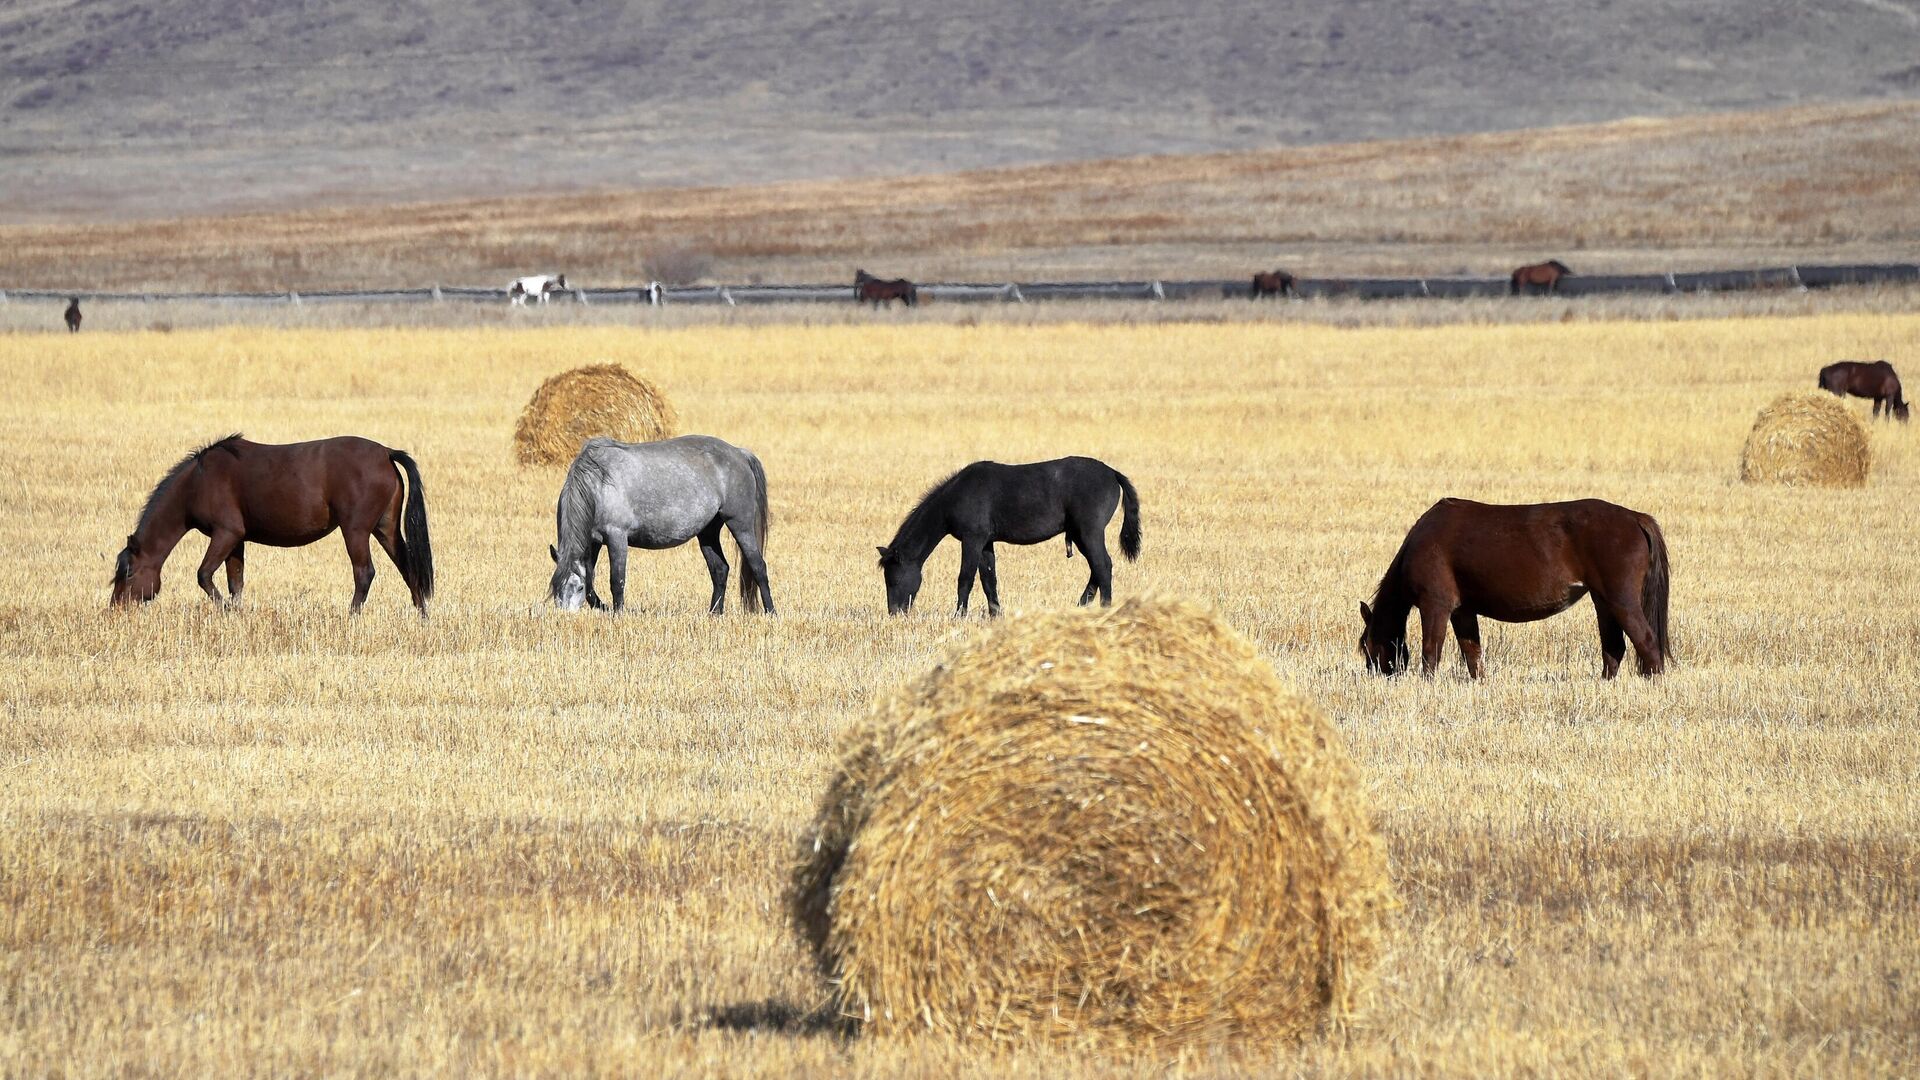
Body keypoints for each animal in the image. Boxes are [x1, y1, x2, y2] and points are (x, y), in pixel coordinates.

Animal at [109, 430, 435, 614]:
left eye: (128, 574)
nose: (115, 610)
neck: (198, 482)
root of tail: (386, 453)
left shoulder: (226, 533)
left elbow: (204, 575)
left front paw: (225, 611)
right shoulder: (236, 540)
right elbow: (235, 582)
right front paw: (236, 612)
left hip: (355, 531)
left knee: (364, 573)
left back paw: (351, 616)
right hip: (385, 529)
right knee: (408, 567)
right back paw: (422, 616)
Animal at [549, 430, 771, 614]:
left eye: (577, 586)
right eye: (555, 587)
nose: (565, 616)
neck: (598, 484)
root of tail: (739, 453)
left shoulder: (616, 537)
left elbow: (616, 580)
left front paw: (618, 614)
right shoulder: (594, 541)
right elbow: (591, 581)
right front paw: (602, 607)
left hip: (740, 525)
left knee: (758, 566)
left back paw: (771, 612)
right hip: (708, 532)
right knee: (720, 570)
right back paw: (714, 614)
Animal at [879, 453, 1136, 614]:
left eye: (893, 579)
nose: (894, 612)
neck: (956, 496)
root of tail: (1112, 473)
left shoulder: (972, 540)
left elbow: (965, 578)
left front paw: (959, 614)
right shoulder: (985, 543)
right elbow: (988, 579)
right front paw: (995, 613)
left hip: (1089, 532)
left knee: (1103, 565)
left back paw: (1105, 607)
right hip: (1081, 535)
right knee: (1096, 569)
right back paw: (1082, 605)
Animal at [1359, 495, 1674, 672]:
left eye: (1367, 647)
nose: (1376, 674)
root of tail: (1634, 517)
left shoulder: (1435, 605)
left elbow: (1430, 653)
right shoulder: (1463, 611)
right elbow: (1472, 654)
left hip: (1621, 600)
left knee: (1647, 645)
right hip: (1603, 601)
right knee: (1614, 650)